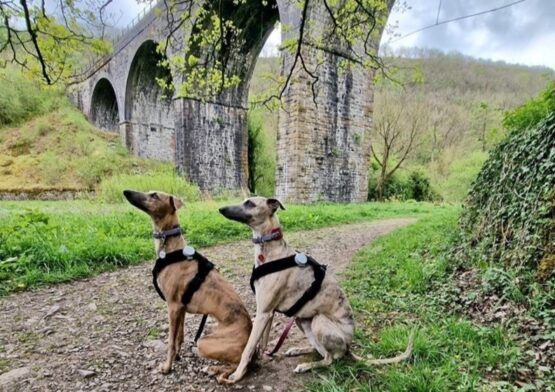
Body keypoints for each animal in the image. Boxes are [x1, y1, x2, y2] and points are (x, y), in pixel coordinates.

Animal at [123, 190, 252, 380]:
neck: (170, 250)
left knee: (239, 365)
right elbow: (179, 337)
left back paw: (215, 369)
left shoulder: (173, 306)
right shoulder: (181, 308)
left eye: (154, 195)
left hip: (204, 343)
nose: (126, 192)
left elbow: (170, 341)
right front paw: (177, 356)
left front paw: (167, 367)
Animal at [219, 196, 414, 382]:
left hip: (318, 321)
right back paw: (298, 350)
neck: (270, 250)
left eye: (250, 203)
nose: (221, 209)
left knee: (330, 358)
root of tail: (349, 346)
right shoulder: (268, 312)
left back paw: (306, 366)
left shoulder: (263, 312)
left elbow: (249, 346)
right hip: (303, 321)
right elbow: (261, 342)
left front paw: (238, 374)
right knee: (320, 350)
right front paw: (258, 359)